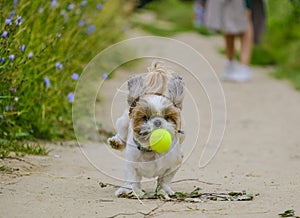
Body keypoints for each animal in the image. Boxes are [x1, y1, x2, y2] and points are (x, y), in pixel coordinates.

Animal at [106, 60, 184, 196]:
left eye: (168, 117)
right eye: (145, 117)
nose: (158, 122)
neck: (151, 151)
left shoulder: (175, 164)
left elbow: (165, 179)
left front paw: (164, 190)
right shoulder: (131, 166)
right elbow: (132, 179)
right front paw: (128, 190)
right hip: (123, 121)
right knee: (122, 133)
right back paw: (116, 142)